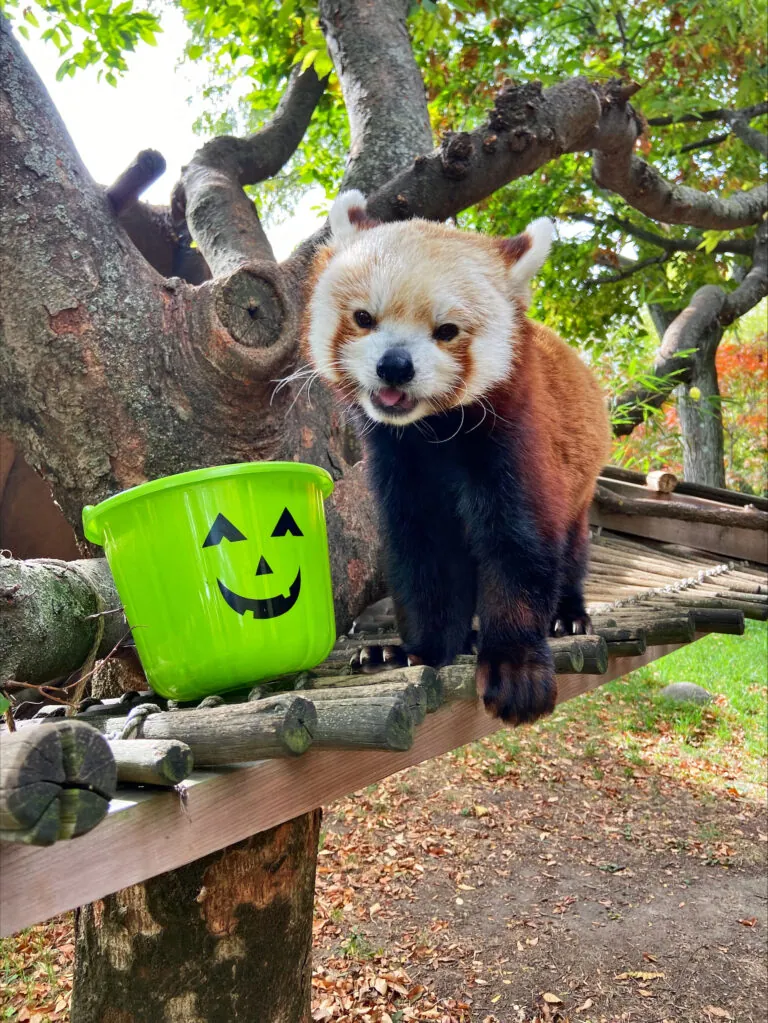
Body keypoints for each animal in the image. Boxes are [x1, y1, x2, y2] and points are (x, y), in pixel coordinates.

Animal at [302, 190, 609, 720]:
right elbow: (426, 558)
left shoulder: (515, 444)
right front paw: (416, 651)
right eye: (364, 318)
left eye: (446, 330)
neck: (434, 432)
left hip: (580, 483)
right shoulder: (400, 465)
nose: (395, 366)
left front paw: (515, 665)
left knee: (570, 549)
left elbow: (517, 548)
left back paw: (568, 616)